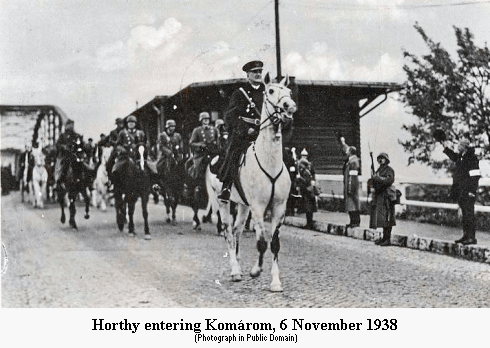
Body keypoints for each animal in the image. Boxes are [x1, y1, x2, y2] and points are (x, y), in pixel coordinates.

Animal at [216, 72, 296, 290]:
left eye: (289, 91)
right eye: (271, 90)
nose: (290, 106)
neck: (270, 161)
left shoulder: (278, 207)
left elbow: (274, 243)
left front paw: (275, 281)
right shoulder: (258, 207)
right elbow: (261, 242)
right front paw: (256, 270)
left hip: (243, 206)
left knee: (237, 231)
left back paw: (238, 263)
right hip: (223, 202)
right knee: (228, 232)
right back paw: (235, 270)